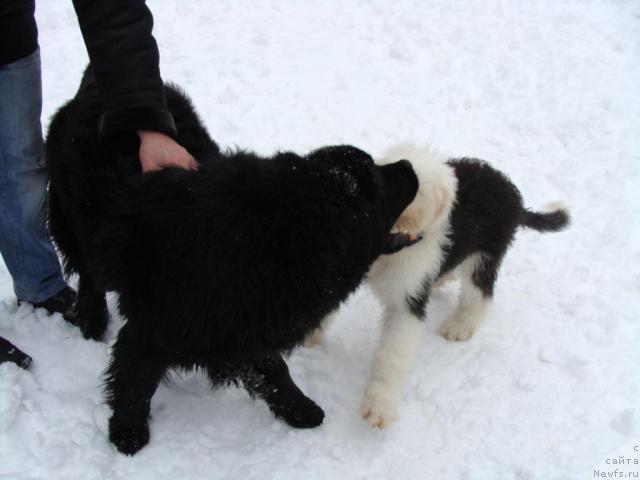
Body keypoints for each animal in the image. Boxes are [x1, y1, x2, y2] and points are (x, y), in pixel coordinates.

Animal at [42, 70, 418, 454]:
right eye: (379, 181)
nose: (408, 164)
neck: (276, 239)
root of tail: (92, 87)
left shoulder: (245, 323)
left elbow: (272, 368)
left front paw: (297, 407)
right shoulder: (155, 326)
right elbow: (136, 377)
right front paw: (127, 431)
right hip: (74, 218)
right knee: (89, 272)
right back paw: (92, 320)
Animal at [308, 142, 568, 428]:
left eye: (417, 188)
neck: (393, 242)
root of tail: (513, 196)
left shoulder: (409, 300)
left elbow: (392, 354)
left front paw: (379, 406)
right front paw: (310, 334)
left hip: (485, 254)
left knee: (480, 295)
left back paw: (458, 327)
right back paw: (442, 281)